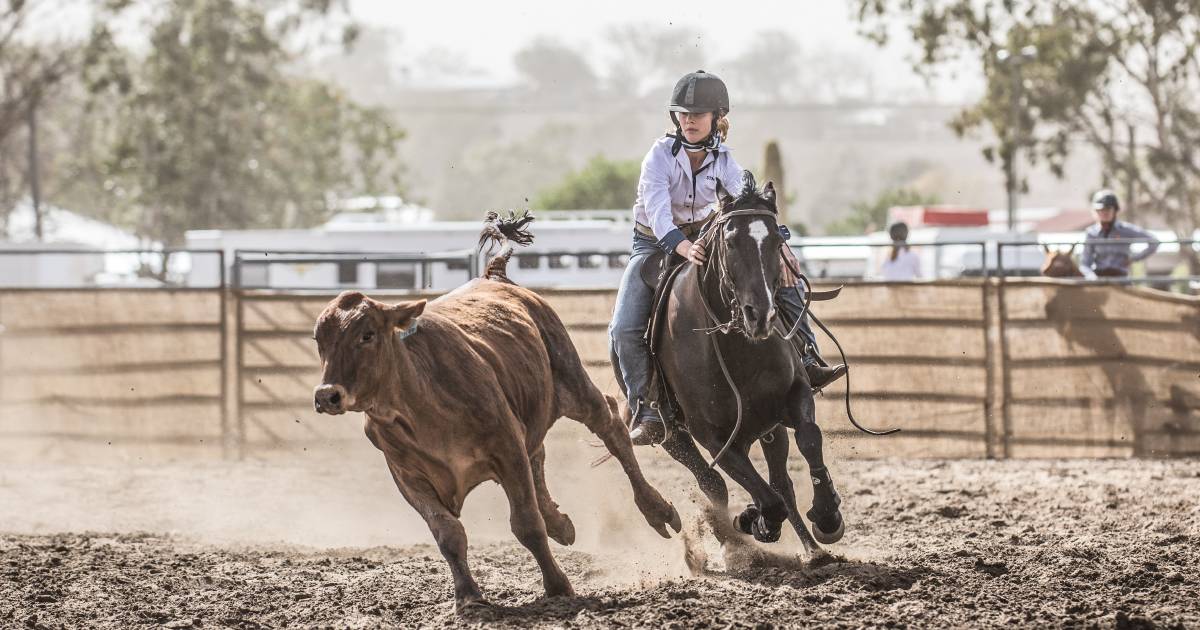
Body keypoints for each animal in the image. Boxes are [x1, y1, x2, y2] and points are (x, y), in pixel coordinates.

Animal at [657, 171, 844, 554]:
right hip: (674, 438)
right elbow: (765, 499)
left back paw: (814, 551)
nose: (761, 314)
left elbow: (810, 439)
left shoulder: (795, 393)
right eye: (729, 242)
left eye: (777, 239)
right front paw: (755, 520)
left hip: (766, 427)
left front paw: (828, 515)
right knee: (714, 483)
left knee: (780, 482)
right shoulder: (714, 438)